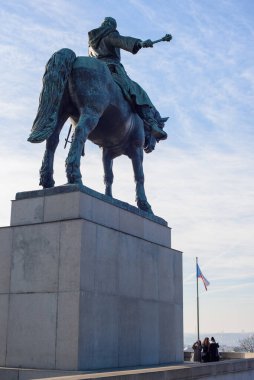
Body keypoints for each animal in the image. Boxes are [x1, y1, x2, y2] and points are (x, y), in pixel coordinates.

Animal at [28, 48, 167, 214]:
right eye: (159, 127)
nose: (151, 146)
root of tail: (76, 59)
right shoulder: (136, 149)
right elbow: (139, 176)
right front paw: (144, 204)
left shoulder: (107, 153)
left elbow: (108, 176)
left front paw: (109, 197)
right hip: (91, 112)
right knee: (80, 133)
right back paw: (74, 175)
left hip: (62, 110)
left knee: (53, 139)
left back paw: (47, 179)